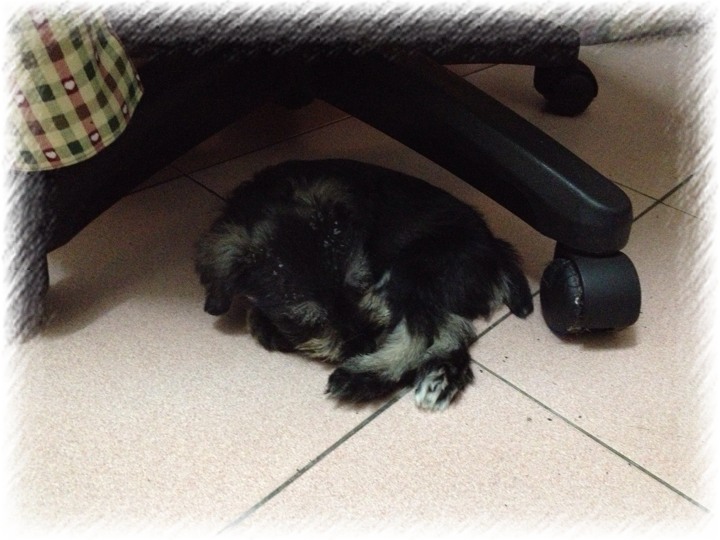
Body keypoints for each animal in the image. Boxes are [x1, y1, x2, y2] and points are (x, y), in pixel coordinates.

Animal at [196, 159, 533, 410]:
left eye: (359, 286)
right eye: (306, 320)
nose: (367, 344)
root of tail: (496, 250)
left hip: (413, 271)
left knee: (422, 332)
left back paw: (364, 377)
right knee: (456, 328)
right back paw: (440, 377)